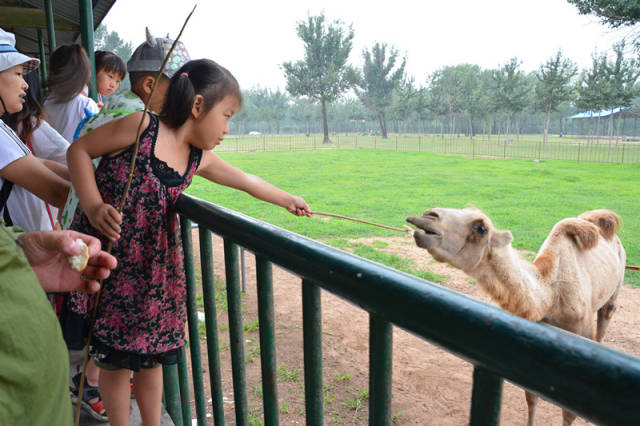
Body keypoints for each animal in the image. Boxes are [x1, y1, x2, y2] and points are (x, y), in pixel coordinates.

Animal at [404, 208, 624, 424]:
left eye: (481, 227)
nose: (427, 216)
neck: (551, 295)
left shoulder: (581, 334)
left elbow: (568, 413)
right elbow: (531, 396)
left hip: (616, 285)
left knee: (605, 318)